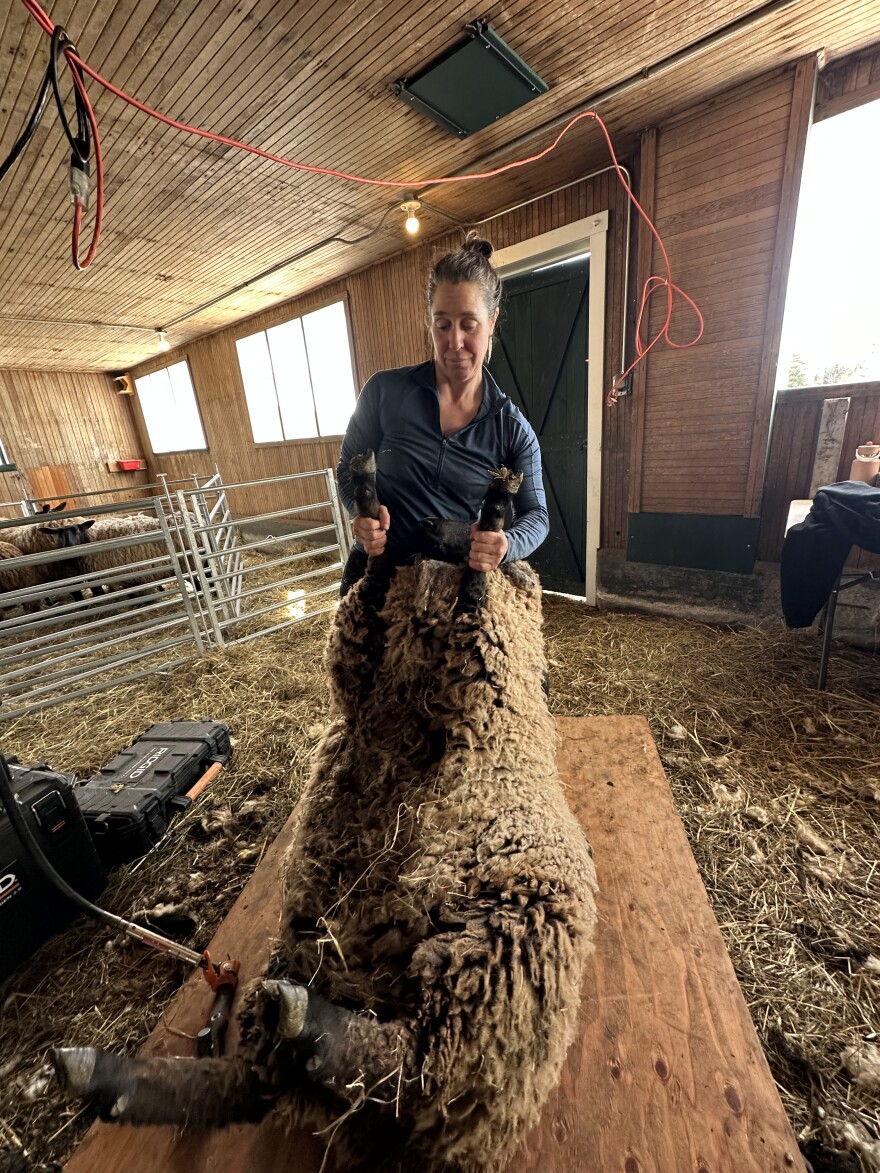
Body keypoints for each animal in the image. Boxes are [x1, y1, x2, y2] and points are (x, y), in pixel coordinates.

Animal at [54, 465, 598, 1173]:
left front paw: (494, 514)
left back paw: (294, 1021)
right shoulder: (362, 655)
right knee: (259, 1081)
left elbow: (475, 593)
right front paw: (371, 517)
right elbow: (368, 594)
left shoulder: (485, 662)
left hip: (491, 957)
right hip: (313, 939)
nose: (425, 525)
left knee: (410, 1069)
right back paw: (114, 1075)